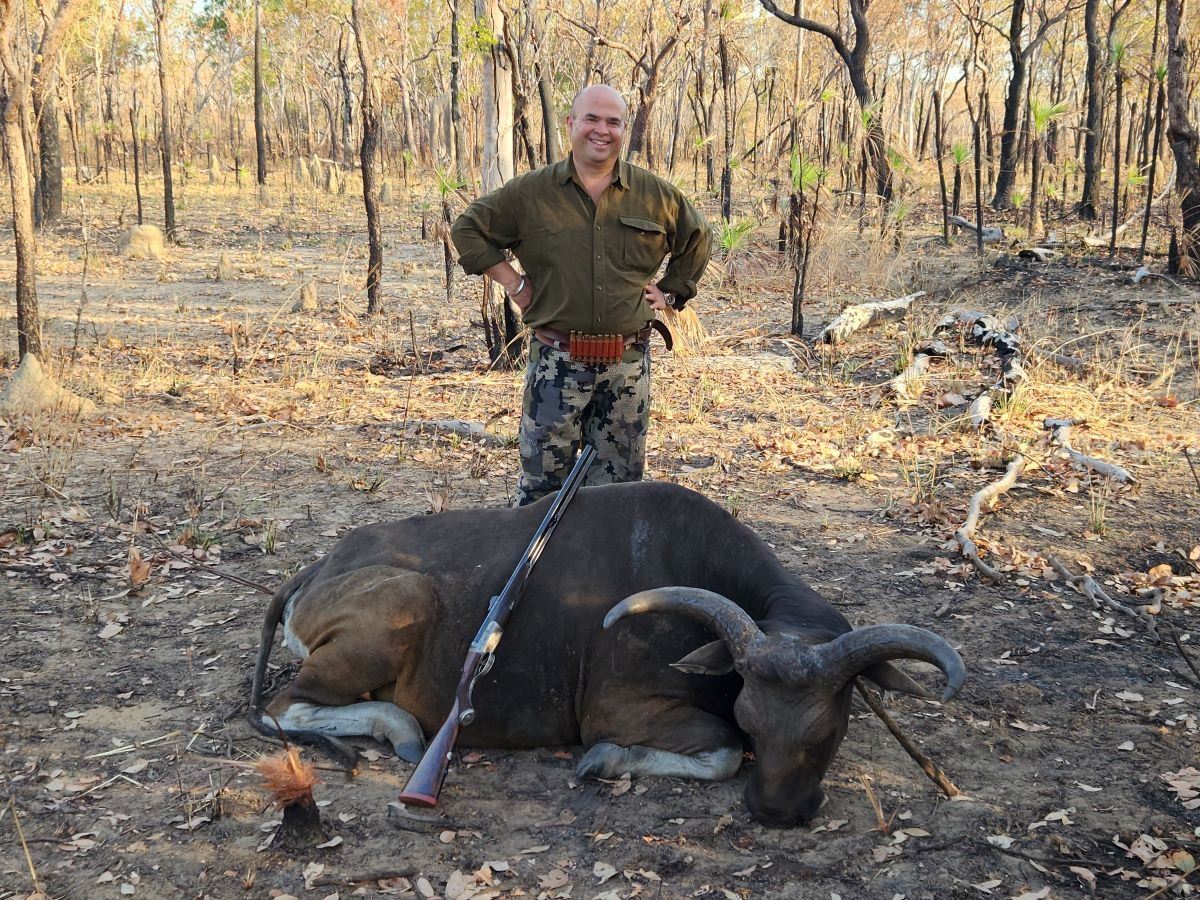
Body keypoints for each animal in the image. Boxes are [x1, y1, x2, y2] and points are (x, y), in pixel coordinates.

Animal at [249, 481, 964, 827]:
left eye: (827, 732)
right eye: (753, 717)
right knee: (287, 706)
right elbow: (723, 752)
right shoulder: (627, 712)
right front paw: (603, 762)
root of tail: (318, 568)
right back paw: (399, 728)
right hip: (403, 603)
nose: (774, 813)